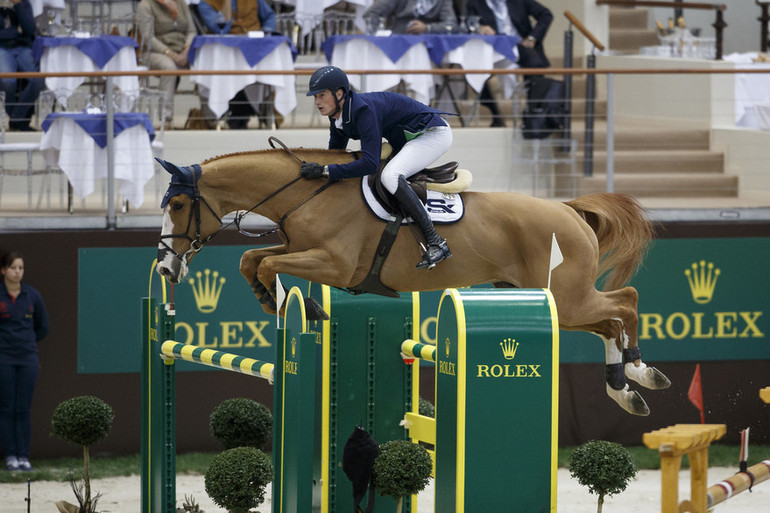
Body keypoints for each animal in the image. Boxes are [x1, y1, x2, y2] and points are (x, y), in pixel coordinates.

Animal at [154, 146, 664, 414]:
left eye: (177, 205)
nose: (164, 267)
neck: (307, 195)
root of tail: (569, 209)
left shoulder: (333, 264)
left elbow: (264, 264)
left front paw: (302, 307)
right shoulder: (299, 249)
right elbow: (252, 259)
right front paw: (271, 300)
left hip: (566, 296)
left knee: (626, 301)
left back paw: (640, 371)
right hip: (551, 301)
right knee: (609, 322)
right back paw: (625, 388)